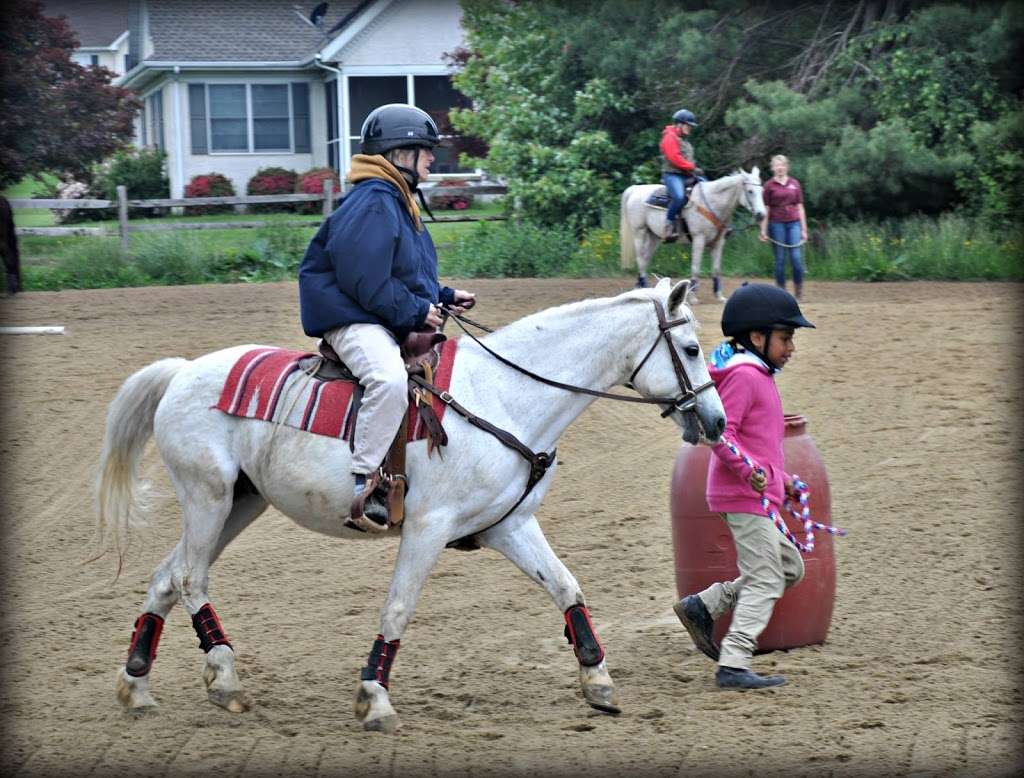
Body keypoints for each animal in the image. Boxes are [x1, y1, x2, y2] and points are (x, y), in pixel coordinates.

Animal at [94, 278, 720, 728]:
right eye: (691, 347)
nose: (714, 423)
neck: (503, 397)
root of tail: (182, 373)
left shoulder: (511, 525)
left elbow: (567, 588)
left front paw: (598, 681)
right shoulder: (427, 527)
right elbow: (397, 608)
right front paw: (375, 698)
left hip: (238, 506)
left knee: (167, 576)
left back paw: (136, 685)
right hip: (209, 498)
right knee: (190, 578)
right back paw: (224, 678)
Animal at [614, 168, 770, 298]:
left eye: (762, 190)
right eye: (750, 191)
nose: (761, 215)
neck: (711, 203)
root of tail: (635, 189)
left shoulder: (718, 242)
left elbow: (716, 269)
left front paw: (719, 295)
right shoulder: (698, 239)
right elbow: (696, 267)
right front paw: (693, 295)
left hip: (654, 236)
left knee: (645, 258)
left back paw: (640, 287)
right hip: (639, 231)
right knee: (640, 259)